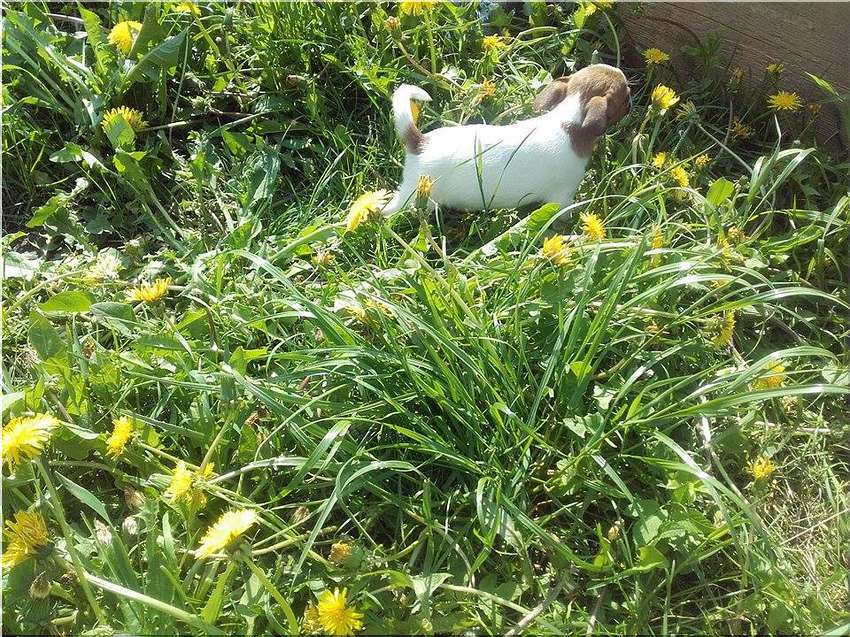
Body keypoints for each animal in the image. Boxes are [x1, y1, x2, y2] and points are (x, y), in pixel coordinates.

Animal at [381, 63, 630, 216]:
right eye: (626, 96)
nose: (633, 103)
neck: (568, 119)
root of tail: (420, 142)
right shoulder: (563, 197)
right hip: (413, 196)